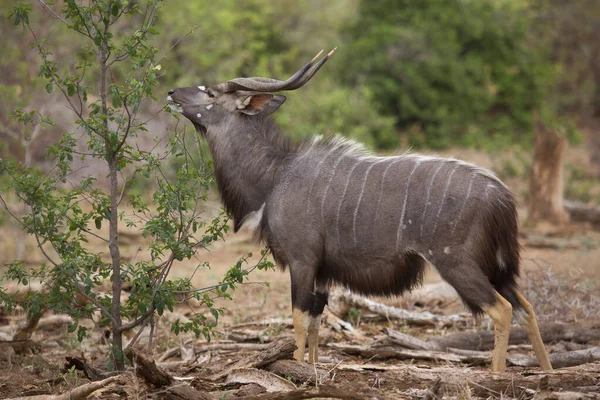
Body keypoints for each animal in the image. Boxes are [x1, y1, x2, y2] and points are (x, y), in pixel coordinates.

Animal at [168, 50, 552, 372]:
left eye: (210, 93)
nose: (171, 92)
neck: (275, 176)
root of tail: (501, 196)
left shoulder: (302, 260)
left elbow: (297, 319)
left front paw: (296, 372)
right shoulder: (323, 272)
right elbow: (315, 323)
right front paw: (314, 370)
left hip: (458, 264)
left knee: (502, 310)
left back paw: (497, 374)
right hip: (496, 268)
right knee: (526, 307)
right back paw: (547, 371)